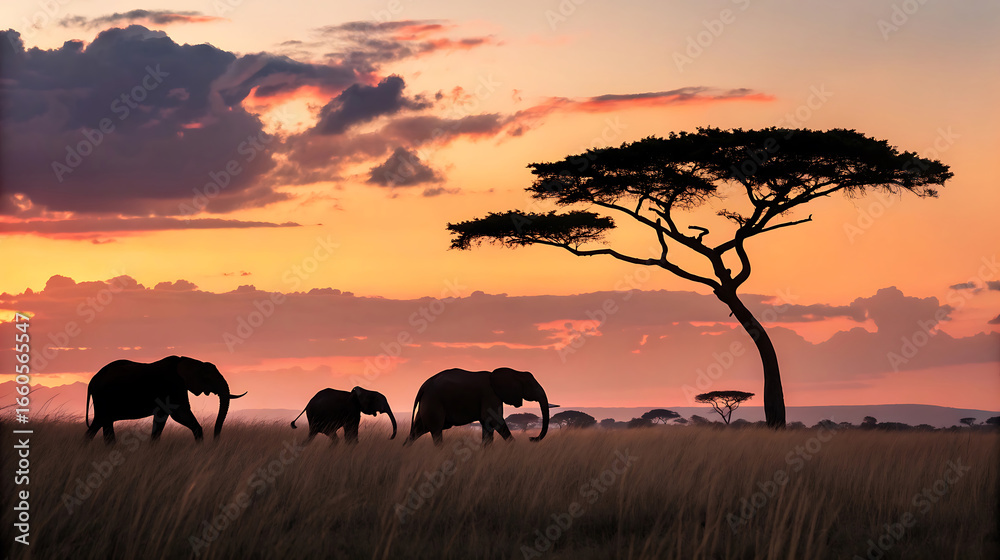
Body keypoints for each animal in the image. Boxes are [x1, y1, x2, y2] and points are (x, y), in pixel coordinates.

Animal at [85, 356, 246, 444]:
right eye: (208, 378)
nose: (215, 441)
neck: (189, 361)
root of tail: (91, 382)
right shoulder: (173, 388)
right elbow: (178, 414)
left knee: (102, 424)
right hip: (103, 398)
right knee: (99, 423)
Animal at [404, 367, 556, 447]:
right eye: (531, 385)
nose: (531, 438)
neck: (514, 371)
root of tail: (423, 386)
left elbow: (487, 425)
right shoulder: (490, 395)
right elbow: (495, 421)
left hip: (428, 404)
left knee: (417, 430)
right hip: (434, 402)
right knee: (435, 431)